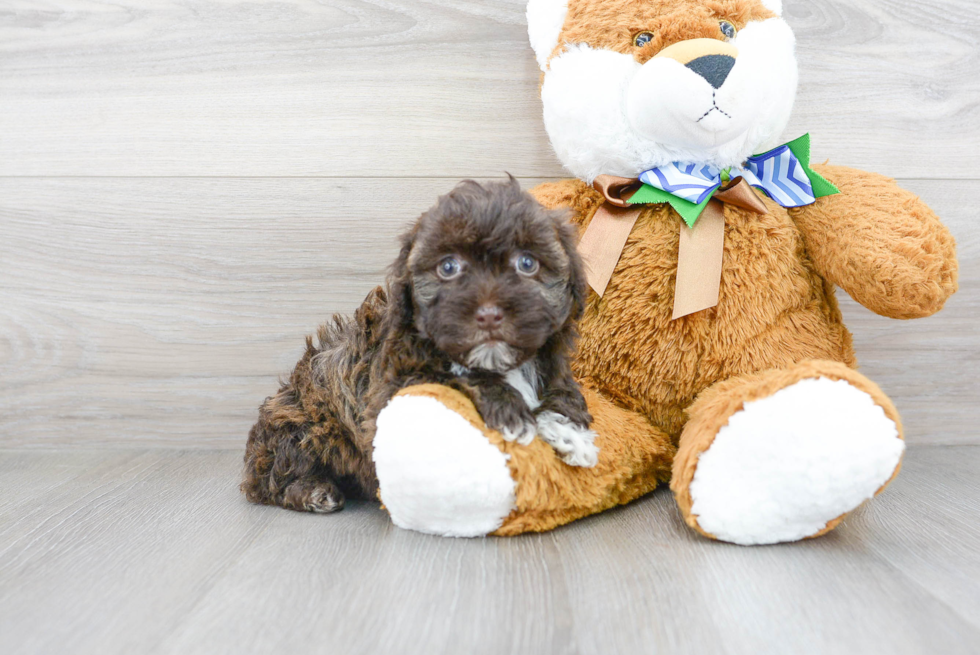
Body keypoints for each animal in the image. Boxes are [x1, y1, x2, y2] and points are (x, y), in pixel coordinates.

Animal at [241, 177, 592, 516]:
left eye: (527, 263)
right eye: (448, 267)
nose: (489, 314)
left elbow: (563, 387)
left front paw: (569, 430)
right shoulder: (390, 389)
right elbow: (454, 376)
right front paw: (510, 409)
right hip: (298, 427)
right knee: (273, 481)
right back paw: (313, 491)